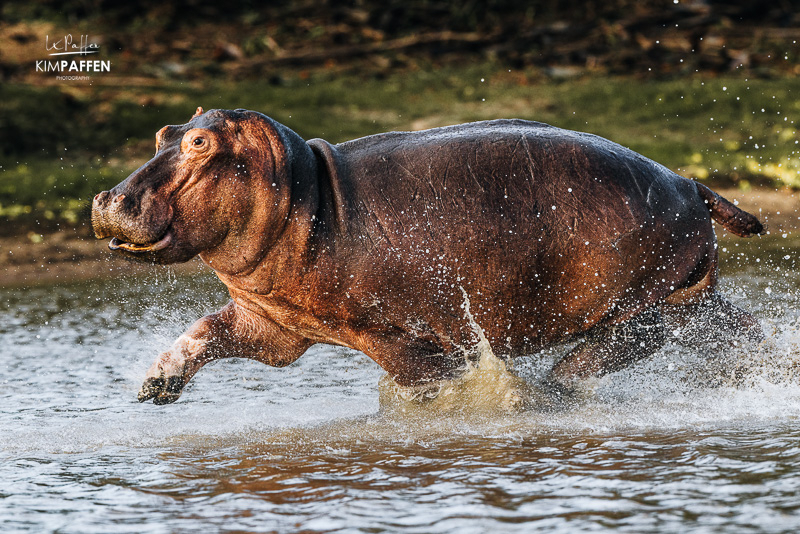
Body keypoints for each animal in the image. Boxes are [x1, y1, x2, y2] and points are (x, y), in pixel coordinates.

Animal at [92, 108, 763, 405]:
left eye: (201, 143)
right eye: (162, 135)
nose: (108, 196)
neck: (300, 190)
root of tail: (689, 183)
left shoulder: (399, 334)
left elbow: (426, 382)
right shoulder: (273, 324)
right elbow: (204, 332)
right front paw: (154, 386)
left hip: (643, 308)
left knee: (601, 356)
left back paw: (549, 393)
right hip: (692, 296)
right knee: (743, 329)